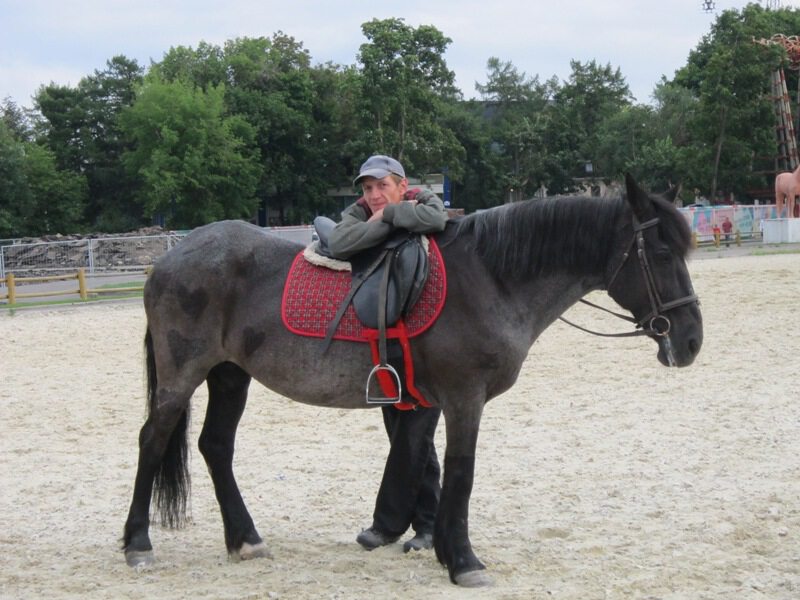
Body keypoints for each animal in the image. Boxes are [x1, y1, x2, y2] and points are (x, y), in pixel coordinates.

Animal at [123, 173, 700, 584]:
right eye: (662, 253)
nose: (691, 339)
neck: (490, 278)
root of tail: (171, 258)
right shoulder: (465, 398)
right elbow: (462, 473)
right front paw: (463, 560)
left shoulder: (424, 400)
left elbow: (421, 461)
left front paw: (432, 543)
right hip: (183, 373)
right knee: (152, 439)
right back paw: (137, 544)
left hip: (229, 376)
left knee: (216, 446)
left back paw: (245, 539)